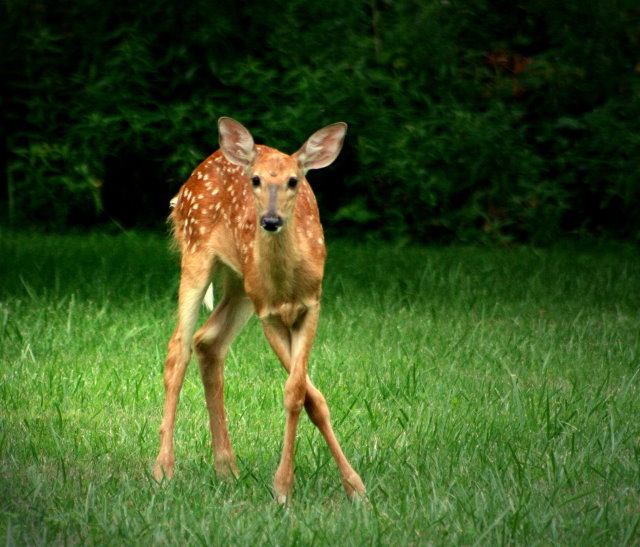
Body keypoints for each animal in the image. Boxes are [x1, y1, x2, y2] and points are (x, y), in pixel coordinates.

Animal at [154, 117, 364, 504]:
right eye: (255, 179)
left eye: (294, 180)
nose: (269, 220)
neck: (287, 286)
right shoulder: (269, 315)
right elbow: (297, 394)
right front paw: (283, 488)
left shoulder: (312, 305)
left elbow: (306, 395)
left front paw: (355, 486)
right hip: (196, 252)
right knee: (178, 350)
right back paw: (163, 469)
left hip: (240, 284)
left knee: (208, 341)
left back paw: (227, 470)